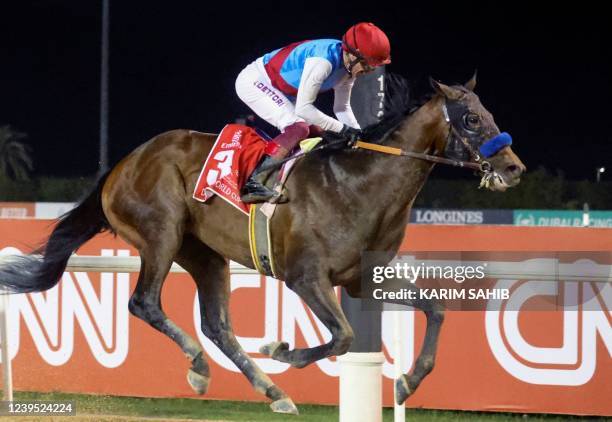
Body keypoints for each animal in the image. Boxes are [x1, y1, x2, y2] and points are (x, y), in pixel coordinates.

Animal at [1, 74, 524, 414]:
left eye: (489, 113)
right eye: (471, 119)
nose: (514, 168)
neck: (361, 182)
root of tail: (123, 163)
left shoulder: (363, 279)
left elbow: (434, 309)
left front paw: (407, 383)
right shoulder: (305, 277)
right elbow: (343, 336)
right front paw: (282, 349)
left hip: (205, 255)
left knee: (217, 325)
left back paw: (271, 391)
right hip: (161, 234)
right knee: (144, 303)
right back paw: (201, 366)